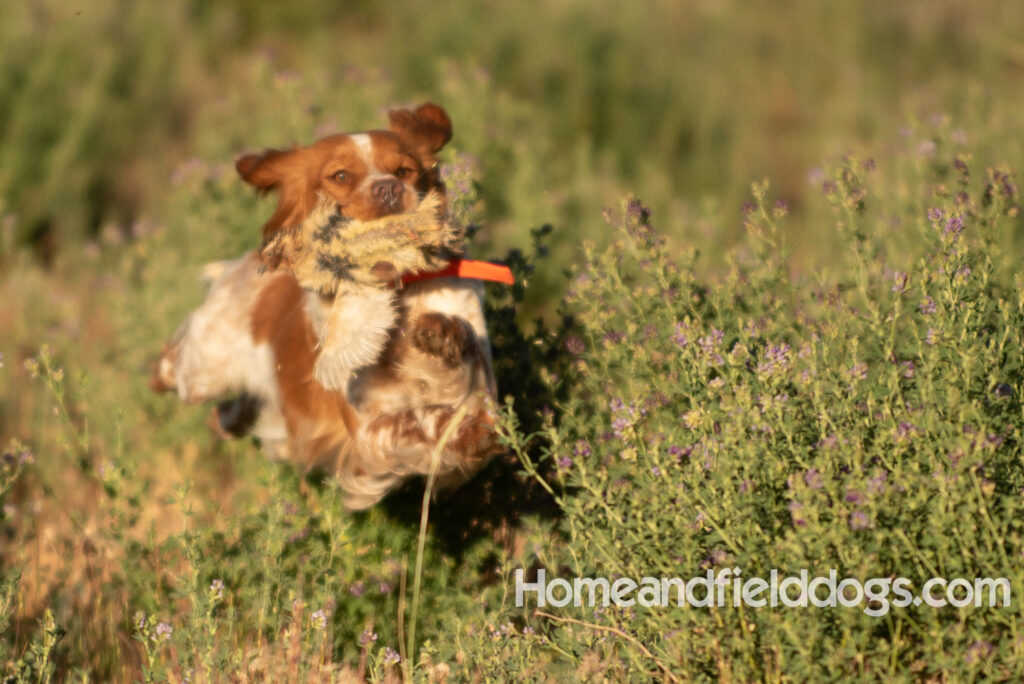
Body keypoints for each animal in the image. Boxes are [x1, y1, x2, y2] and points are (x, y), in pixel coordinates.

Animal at [153, 101, 501, 507]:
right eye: (340, 175)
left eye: (404, 170)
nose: (388, 188)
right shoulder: (368, 430)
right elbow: (414, 426)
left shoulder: (485, 395)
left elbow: (465, 371)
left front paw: (442, 337)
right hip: (204, 367)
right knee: (174, 366)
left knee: (237, 409)